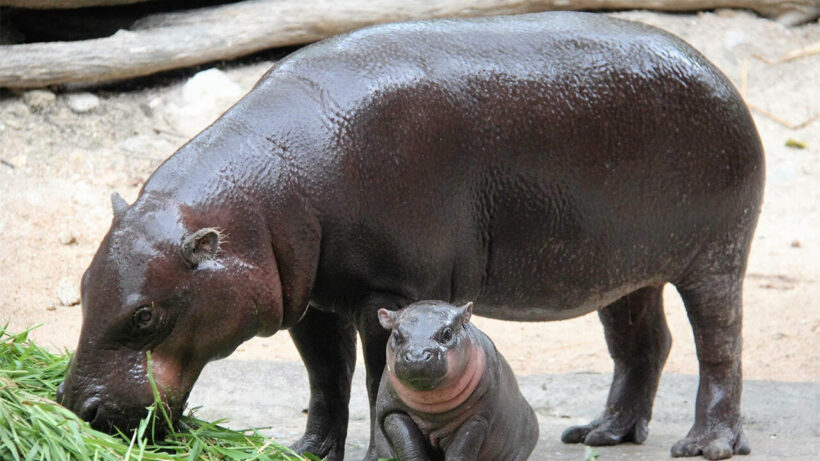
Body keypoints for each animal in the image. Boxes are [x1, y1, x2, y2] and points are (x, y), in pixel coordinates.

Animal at [374, 300, 540, 458]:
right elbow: (410, 447)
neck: (431, 411)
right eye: (396, 335)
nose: (417, 356)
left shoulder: (476, 418)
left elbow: (460, 451)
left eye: (447, 333)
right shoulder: (392, 413)